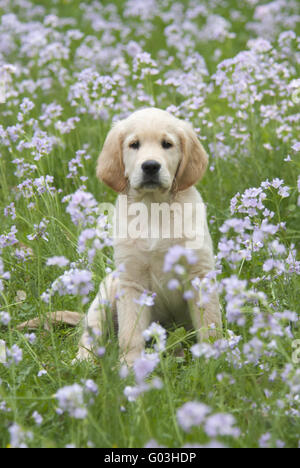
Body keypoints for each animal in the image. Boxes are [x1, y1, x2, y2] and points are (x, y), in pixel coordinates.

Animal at [77, 107, 223, 366]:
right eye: (134, 144)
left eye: (167, 144)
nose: (151, 166)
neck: (154, 207)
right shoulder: (131, 279)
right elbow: (130, 332)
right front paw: (131, 365)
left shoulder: (199, 273)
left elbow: (210, 322)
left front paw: (214, 359)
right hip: (105, 294)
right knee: (91, 329)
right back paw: (83, 360)